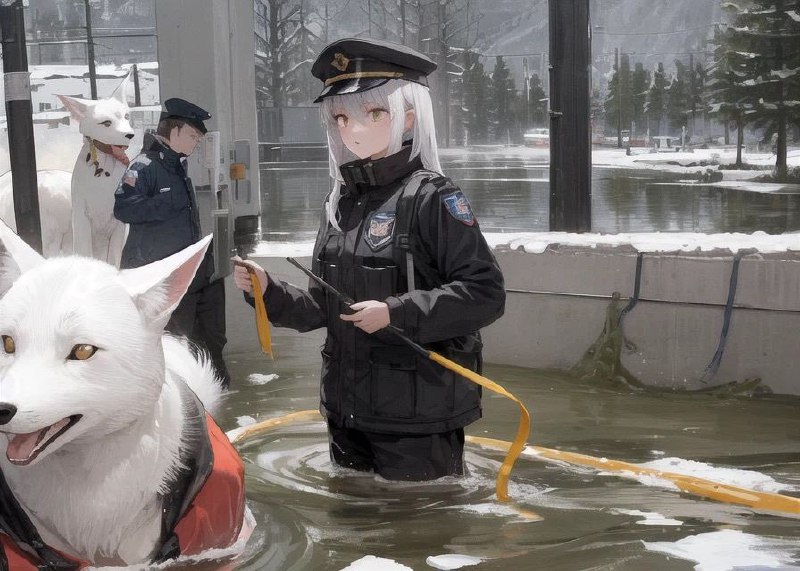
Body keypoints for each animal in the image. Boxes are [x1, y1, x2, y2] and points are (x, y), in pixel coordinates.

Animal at [58, 71, 135, 266]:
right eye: (106, 123)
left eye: (126, 117)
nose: (130, 135)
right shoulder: (82, 220)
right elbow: (84, 252)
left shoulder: (119, 224)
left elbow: (114, 258)